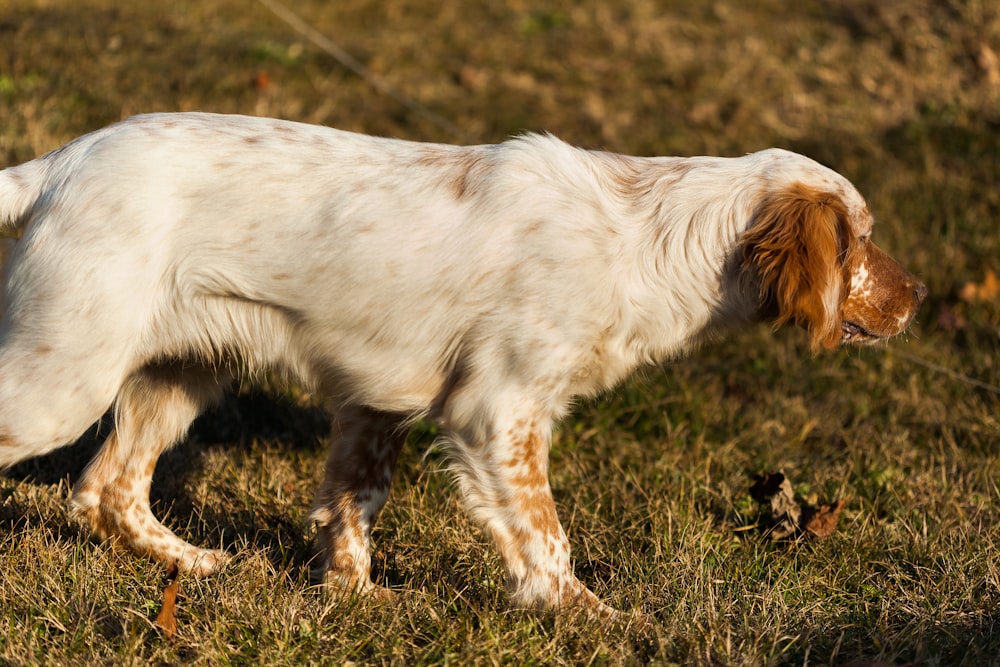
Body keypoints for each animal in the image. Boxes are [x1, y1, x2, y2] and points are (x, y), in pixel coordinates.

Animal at [0, 113, 924, 616]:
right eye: (863, 239)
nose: (918, 295)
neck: (649, 236)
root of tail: (59, 162)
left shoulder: (376, 401)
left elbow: (354, 503)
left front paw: (355, 600)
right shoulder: (497, 411)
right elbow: (547, 539)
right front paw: (599, 620)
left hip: (175, 373)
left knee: (106, 487)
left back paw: (195, 562)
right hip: (63, 375)